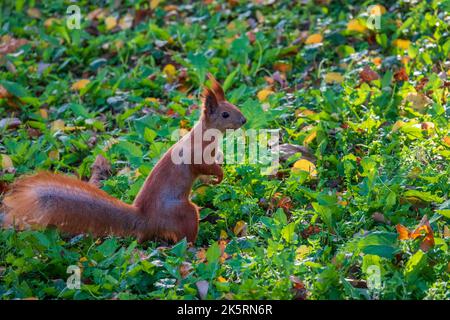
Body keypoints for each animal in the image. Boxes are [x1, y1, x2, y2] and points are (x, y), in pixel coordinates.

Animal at [0, 75, 246, 244]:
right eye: (225, 114)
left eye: (235, 106)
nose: (243, 120)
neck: (208, 135)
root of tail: (145, 220)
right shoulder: (195, 154)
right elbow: (202, 166)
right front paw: (219, 176)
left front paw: (218, 173)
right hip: (182, 212)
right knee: (184, 237)